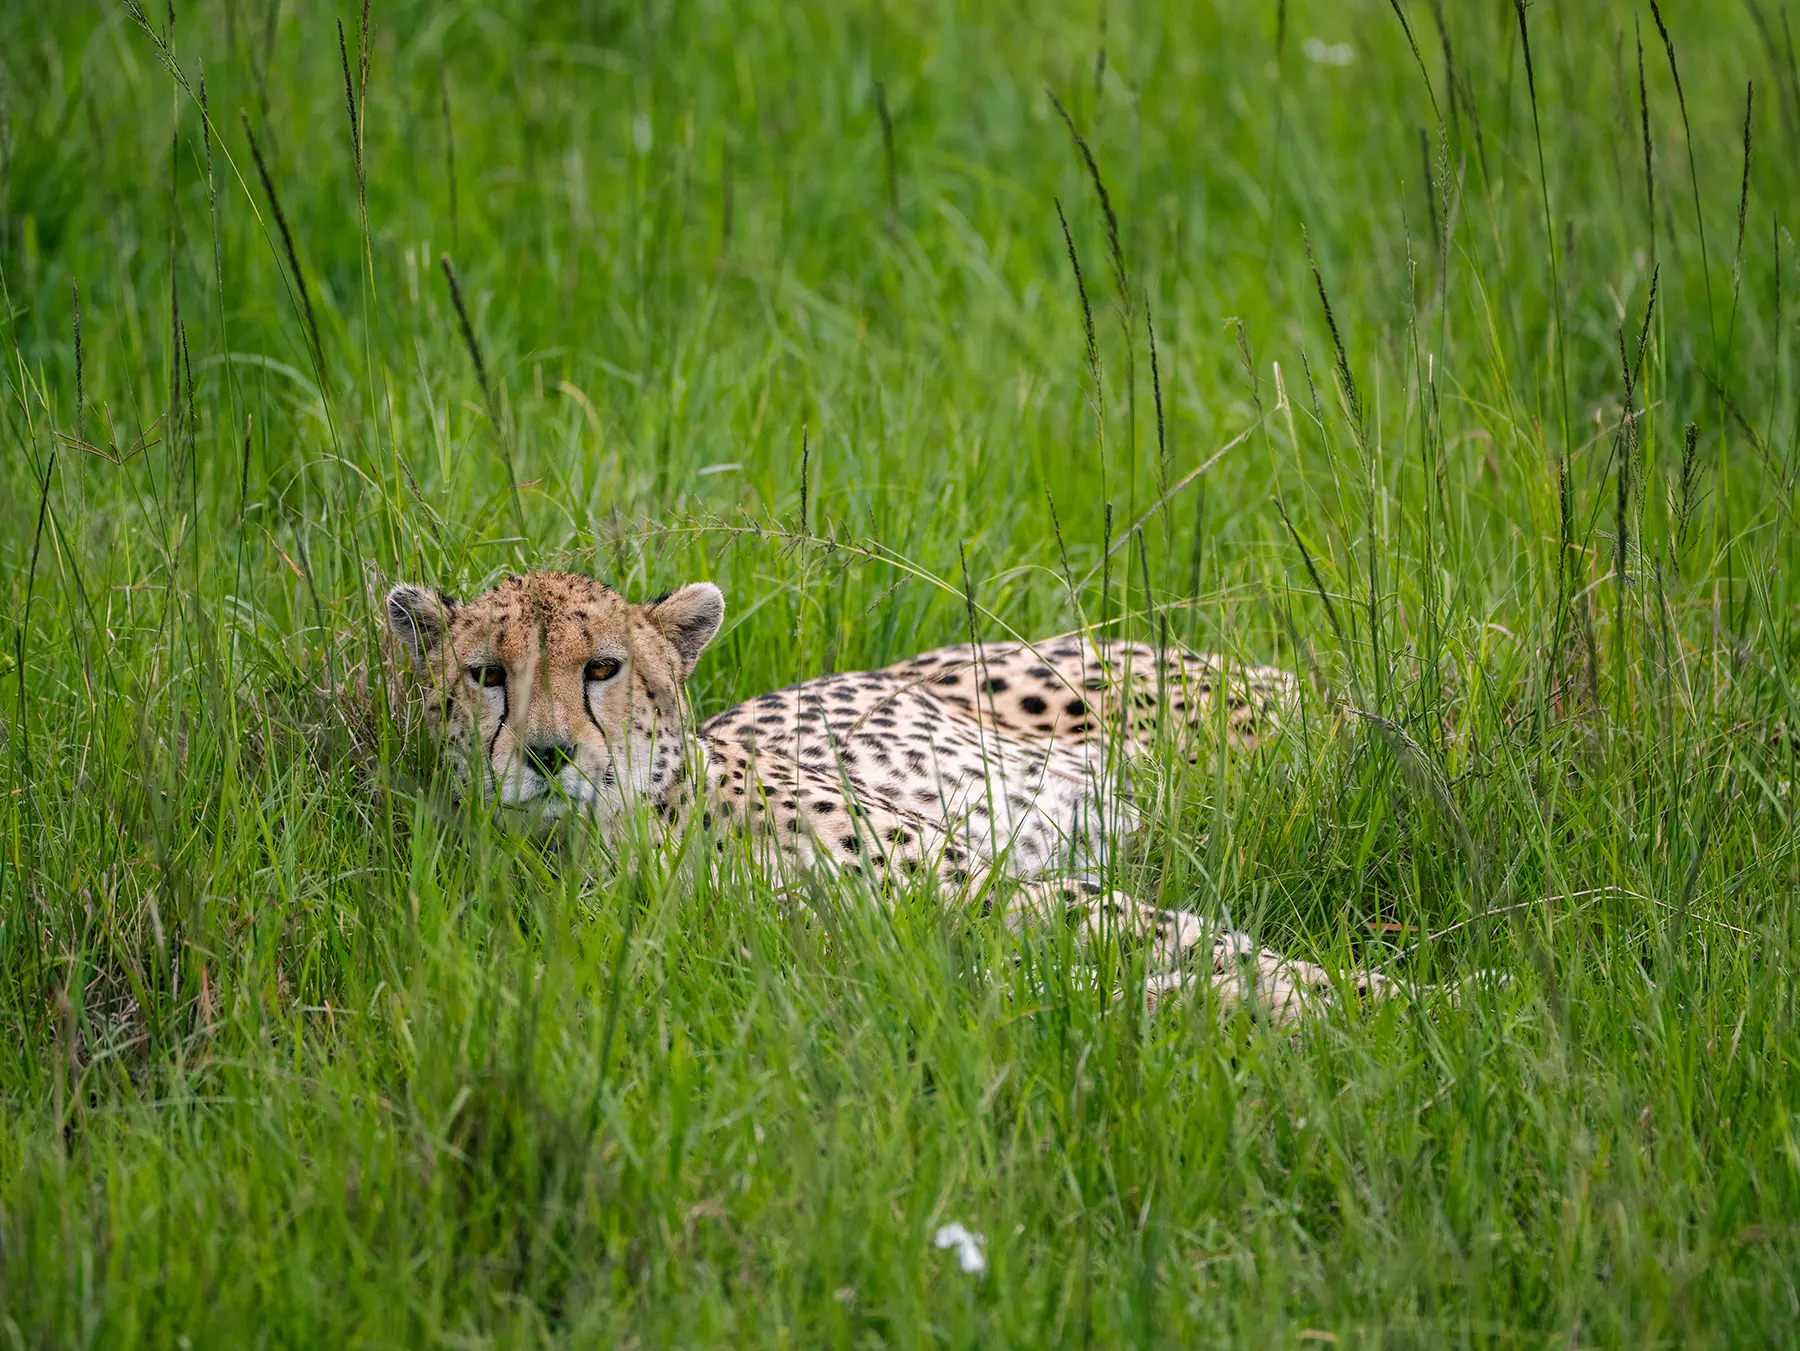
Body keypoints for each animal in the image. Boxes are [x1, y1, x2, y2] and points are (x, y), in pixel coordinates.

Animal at [385, 569, 1400, 1022]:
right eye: (486, 675)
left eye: (601, 667)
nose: (548, 756)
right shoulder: (914, 951)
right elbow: (1126, 979)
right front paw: (1270, 1010)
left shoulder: (983, 886)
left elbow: (1208, 941)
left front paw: (1409, 1001)